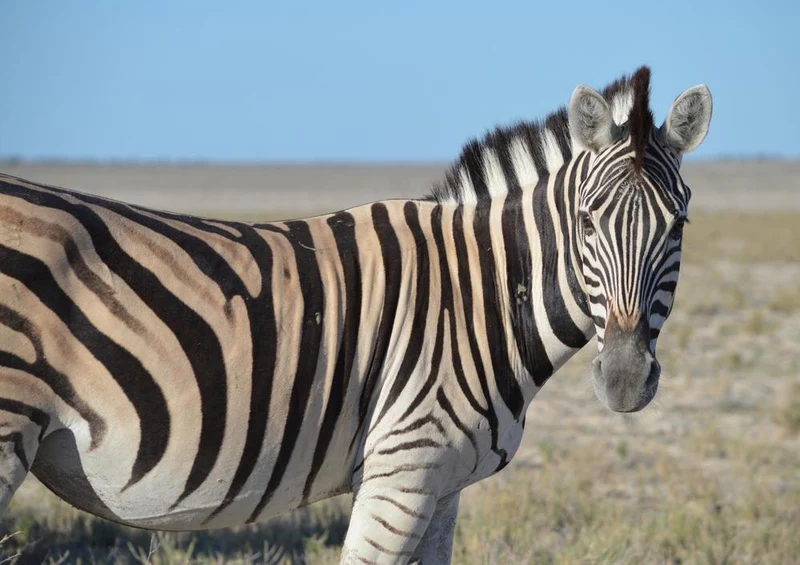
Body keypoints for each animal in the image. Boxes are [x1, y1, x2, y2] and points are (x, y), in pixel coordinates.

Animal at [0, 66, 711, 564]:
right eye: (586, 222)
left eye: (678, 226)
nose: (624, 380)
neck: (480, 297)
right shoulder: (401, 473)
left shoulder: (443, 483)